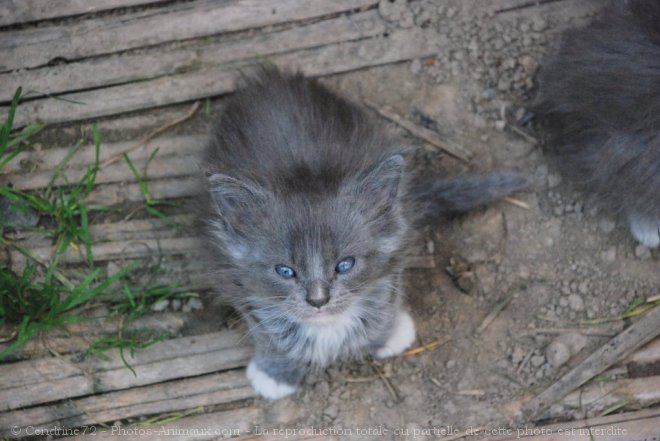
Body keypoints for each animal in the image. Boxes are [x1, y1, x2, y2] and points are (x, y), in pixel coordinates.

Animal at [199, 68, 524, 398]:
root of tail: (269, 78)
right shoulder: (232, 274)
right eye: (285, 271)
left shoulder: (396, 247)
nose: (318, 300)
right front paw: (276, 372)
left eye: (345, 265)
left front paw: (388, 335)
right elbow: (268, 332)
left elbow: (385, 301)